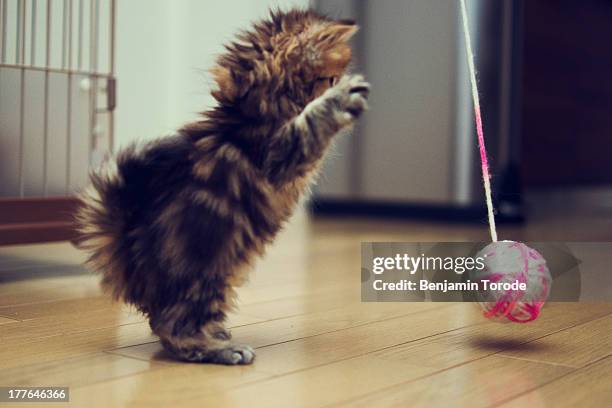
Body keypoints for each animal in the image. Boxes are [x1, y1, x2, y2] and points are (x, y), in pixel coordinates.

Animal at [74, 7, 370, 364]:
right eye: (330, 79)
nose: (341, 84)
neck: (250, 111)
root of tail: (128, 256)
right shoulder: (278, 154)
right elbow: (312, 121)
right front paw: (340, 101)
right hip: (208, 273)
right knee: (171, 327)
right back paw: (221, 350)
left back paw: (218, 336)